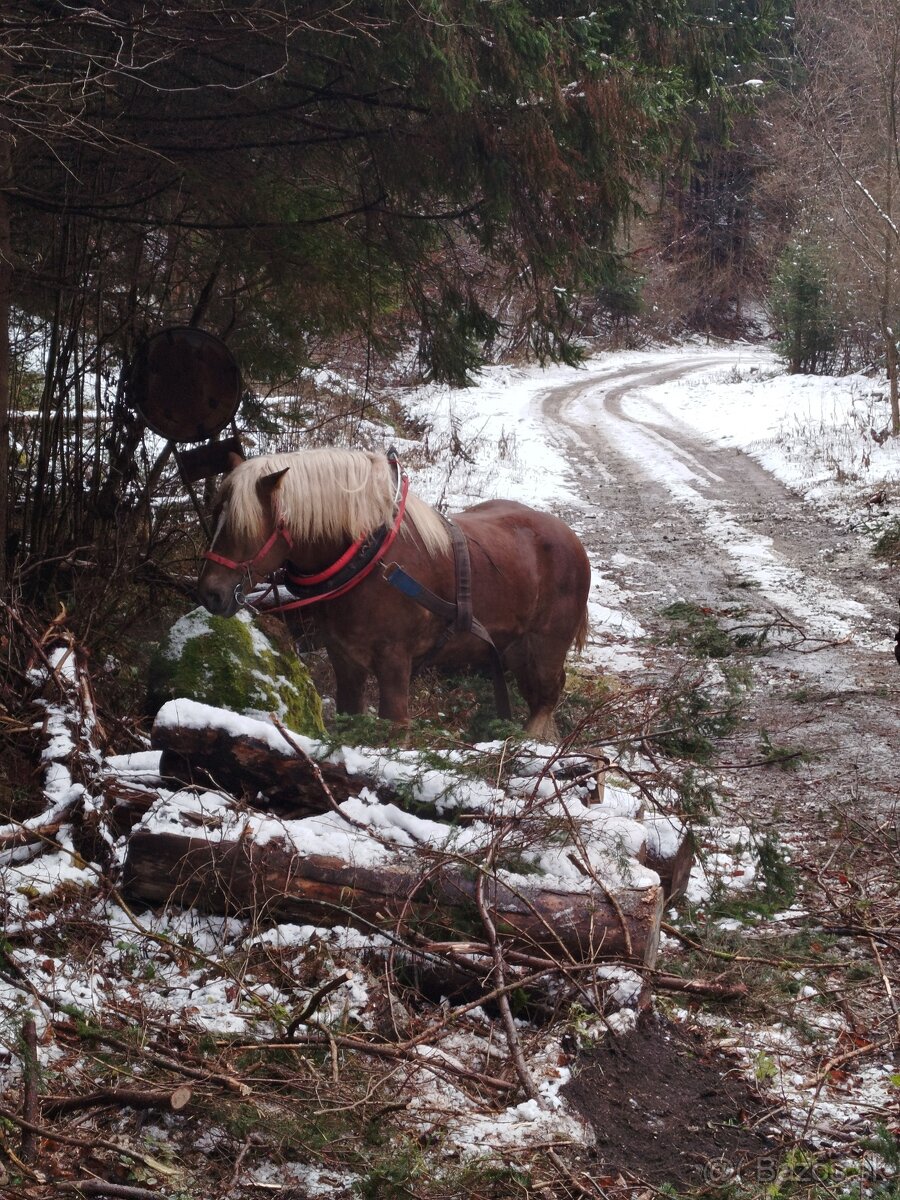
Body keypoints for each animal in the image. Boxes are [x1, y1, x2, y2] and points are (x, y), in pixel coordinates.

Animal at [196, 446, 592, 734]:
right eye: (215, 515)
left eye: (242, 527)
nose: (210, 593)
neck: (371, 560)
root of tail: (572, 539)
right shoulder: (344, 659)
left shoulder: (394, 661)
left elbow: (394, 727)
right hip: (514, 652)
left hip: (544, 651)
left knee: (545, 702)